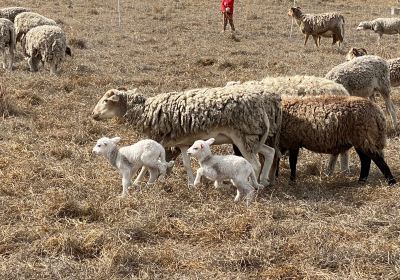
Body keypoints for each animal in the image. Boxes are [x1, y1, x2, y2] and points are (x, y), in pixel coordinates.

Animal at [91, 86, 282, 187]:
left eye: (106, 101)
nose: (93, 114)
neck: (145, 110)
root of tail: (262, 105)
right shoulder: (183, 143)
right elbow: (187, 163)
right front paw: (192, 183)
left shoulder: (156, 139)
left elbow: (145, 165)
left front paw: (138, 181)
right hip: (253, 137)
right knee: (270, 152)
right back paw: (264, 180)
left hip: (242, 136)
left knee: (255, 164)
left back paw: (251, 185)